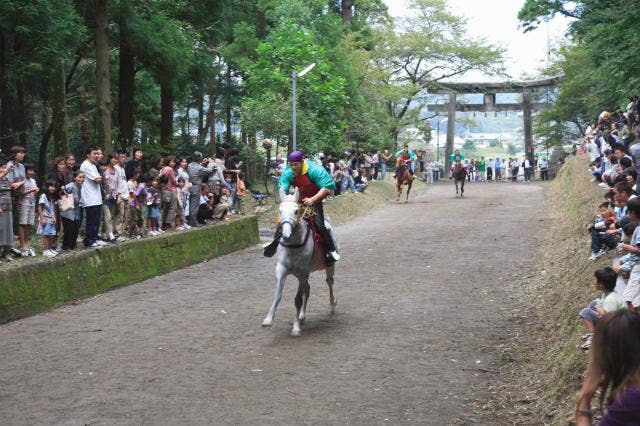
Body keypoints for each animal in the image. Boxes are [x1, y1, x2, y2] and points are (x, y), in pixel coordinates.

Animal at [262, 189, 338, 336]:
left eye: (296, 211)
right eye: (280, 210)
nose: (285, 234)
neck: (294, 245)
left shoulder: (303, 272)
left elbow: (297, 300)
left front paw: (296, 328)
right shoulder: (282, 269)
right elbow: (278, 295)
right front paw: (268, 320)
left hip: (328, 267)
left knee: (329, 282)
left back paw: (332, 305)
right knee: (307, 290)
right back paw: (302, 316)